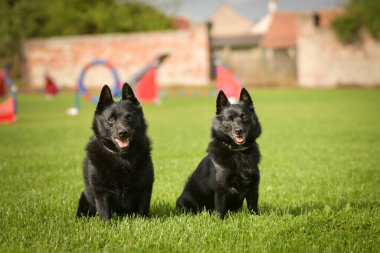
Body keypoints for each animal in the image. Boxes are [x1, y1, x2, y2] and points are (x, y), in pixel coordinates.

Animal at [76, 83, 154, 221]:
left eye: (130, 117)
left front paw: (142, 222)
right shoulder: (100, 190)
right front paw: (107, 225)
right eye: (110, 120)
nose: (123, 133)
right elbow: (104, 212)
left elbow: (142, 210)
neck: (122, 157)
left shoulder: (145, 186)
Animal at [176, 89, 262, 219]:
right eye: (229, 119)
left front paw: (255, 219)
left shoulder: (253, 188)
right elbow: (220, 210)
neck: (237, 150)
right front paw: (221, 222)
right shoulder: (220, 190)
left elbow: (253, 208)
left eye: (244, 117)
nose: (239, 131)